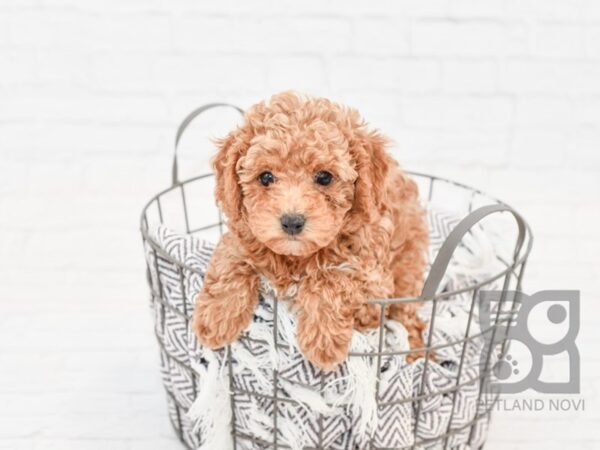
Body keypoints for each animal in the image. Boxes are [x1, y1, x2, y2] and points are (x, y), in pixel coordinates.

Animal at [195, 91, 428, 370]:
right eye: (265, 177)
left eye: (325, 177)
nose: (292, 222)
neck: (296, 258)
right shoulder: (242, 235)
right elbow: (232, 260)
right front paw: (215, 319)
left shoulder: (374, 288)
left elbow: (333, 277)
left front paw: (323, 341)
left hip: (406, 276)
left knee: (408, 319)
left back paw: (416, 354)